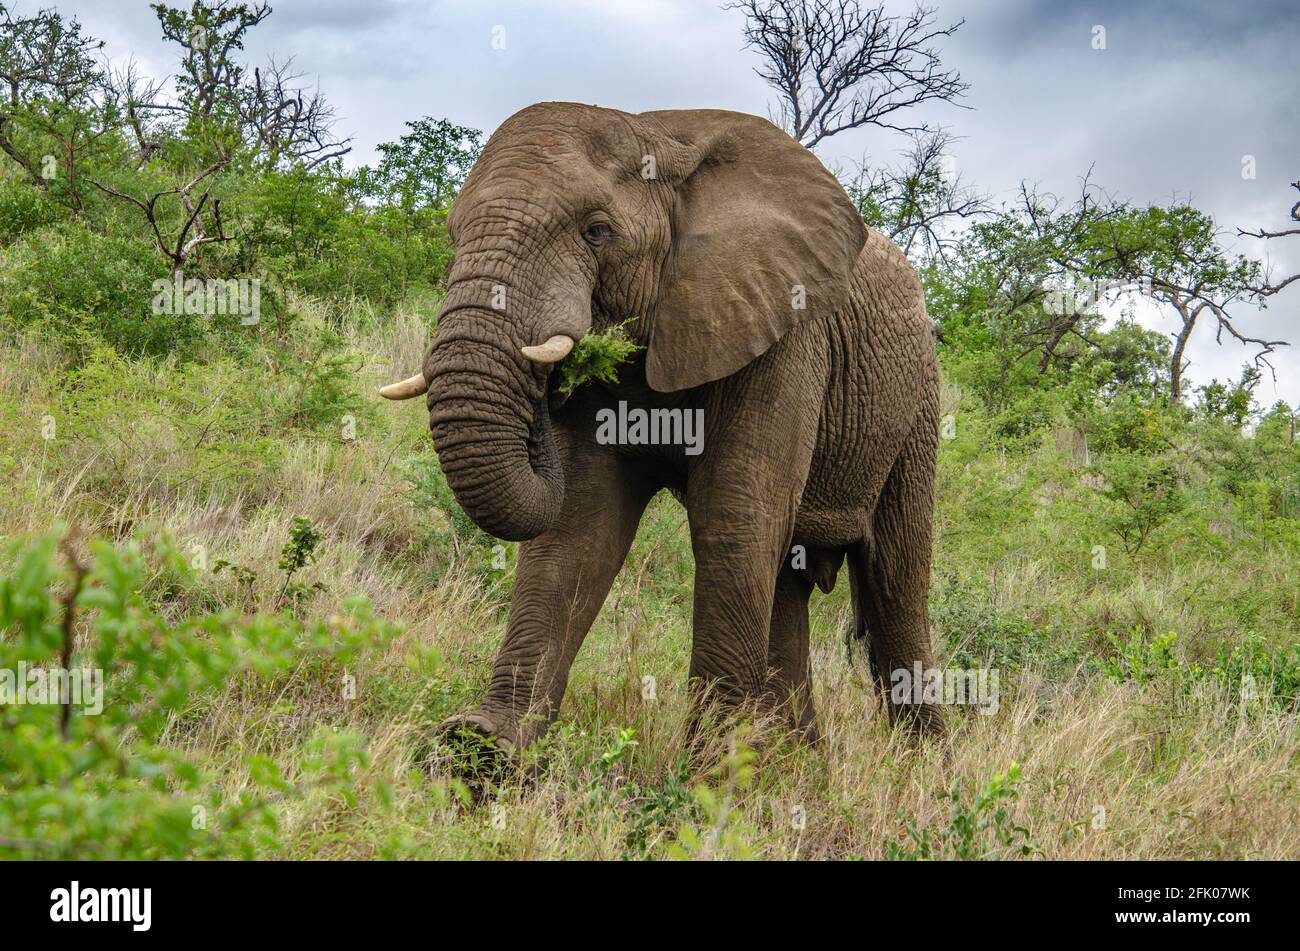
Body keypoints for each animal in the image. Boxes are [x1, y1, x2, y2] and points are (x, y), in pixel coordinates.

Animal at [379, 98, 941, 748]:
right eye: (452, 234)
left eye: (596, 231)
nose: (546, 388)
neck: (661, 137)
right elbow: (581, 522)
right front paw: (482, 747)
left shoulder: (789, 333)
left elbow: (735, 516)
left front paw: (713, 770)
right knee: (789, 586)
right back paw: (796, 769)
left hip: (918, 407)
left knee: (895, 585)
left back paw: (920, 765)